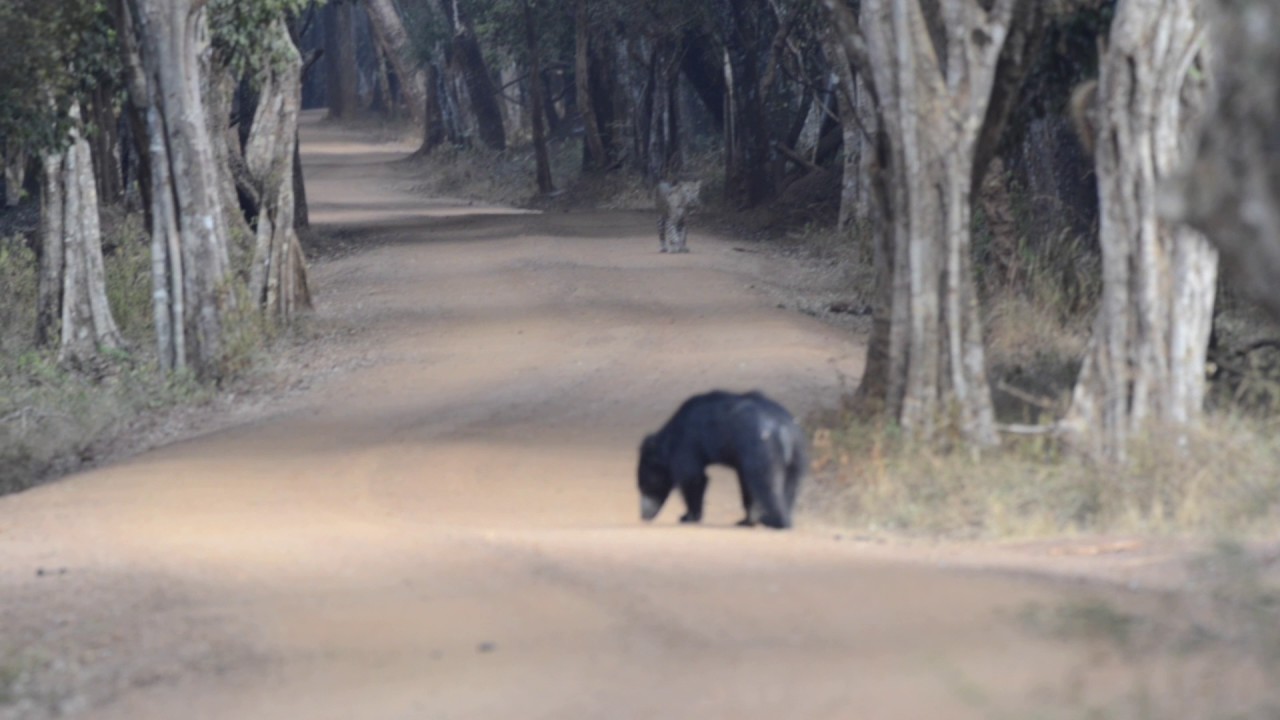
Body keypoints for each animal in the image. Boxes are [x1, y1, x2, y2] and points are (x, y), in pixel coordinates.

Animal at [640, 386, 808, 527]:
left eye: (645, 487)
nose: (643, 515)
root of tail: (783, 429)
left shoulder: (687, 443)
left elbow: (692, 476)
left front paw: (687, 517)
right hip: (797, 454)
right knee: (790, 485)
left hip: (762, 449)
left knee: (765, 483)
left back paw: (774, 521)